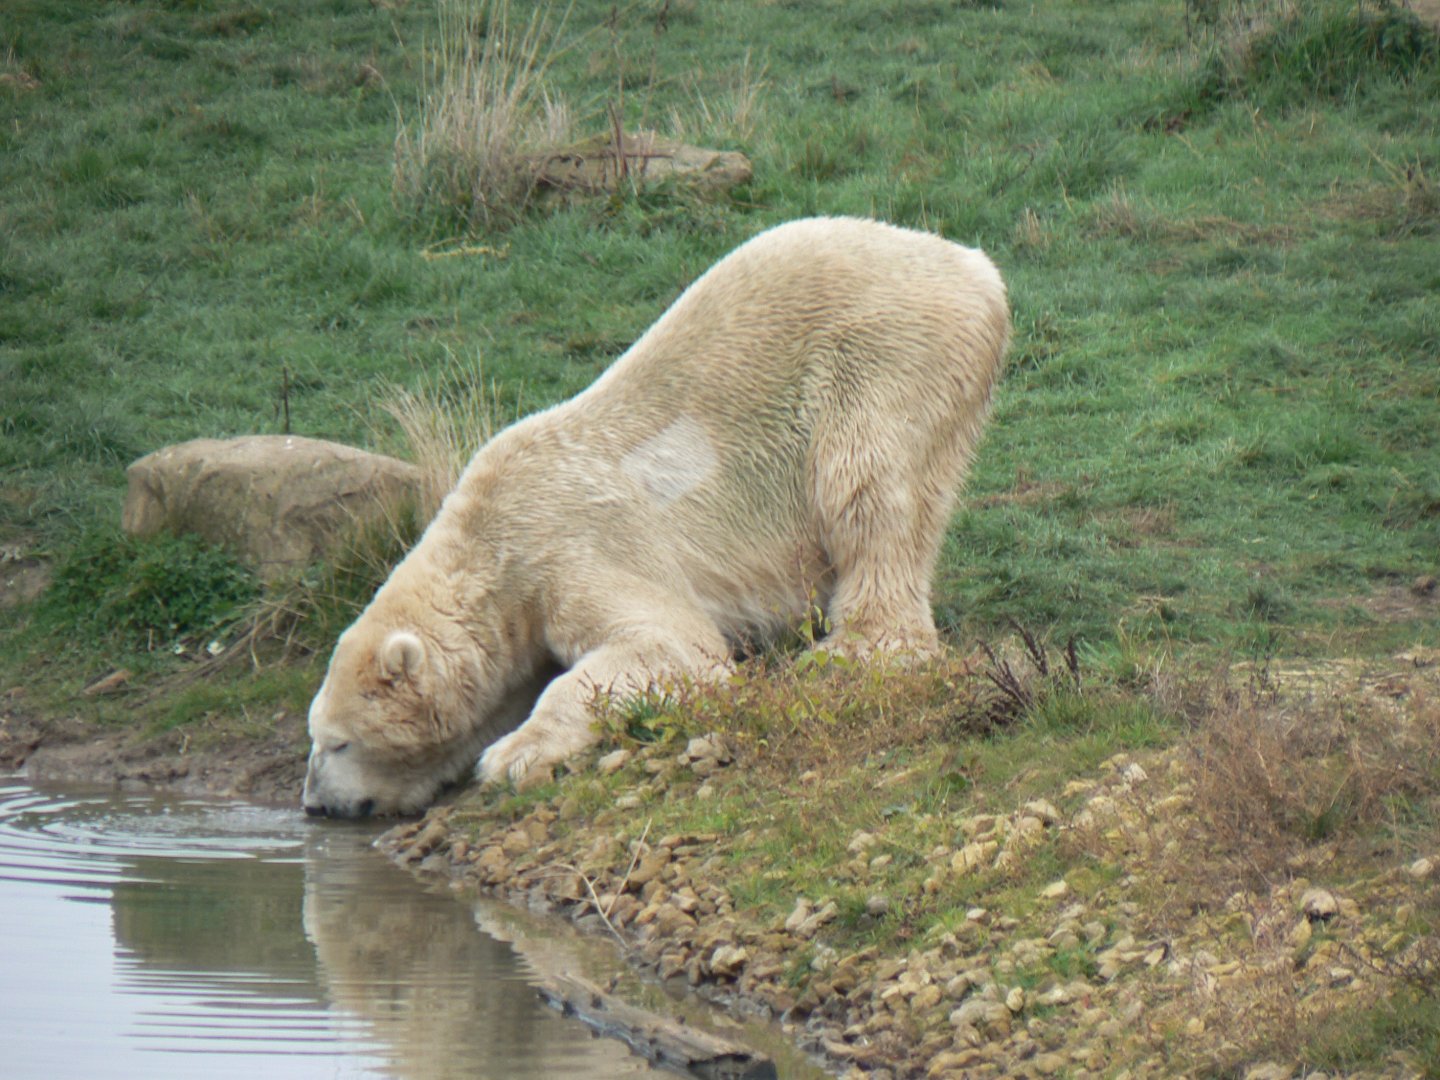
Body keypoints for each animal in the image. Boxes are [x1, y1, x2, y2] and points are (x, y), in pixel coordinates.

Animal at [302, 217, 1010, 818]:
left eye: (338, 742)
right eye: (319, 739)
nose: (314, 806)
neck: (490, 547)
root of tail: (977, 268)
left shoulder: (572, 544)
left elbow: (669, 644)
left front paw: (512, 756)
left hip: (885, 353)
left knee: (865, 485)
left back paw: (858, 646)